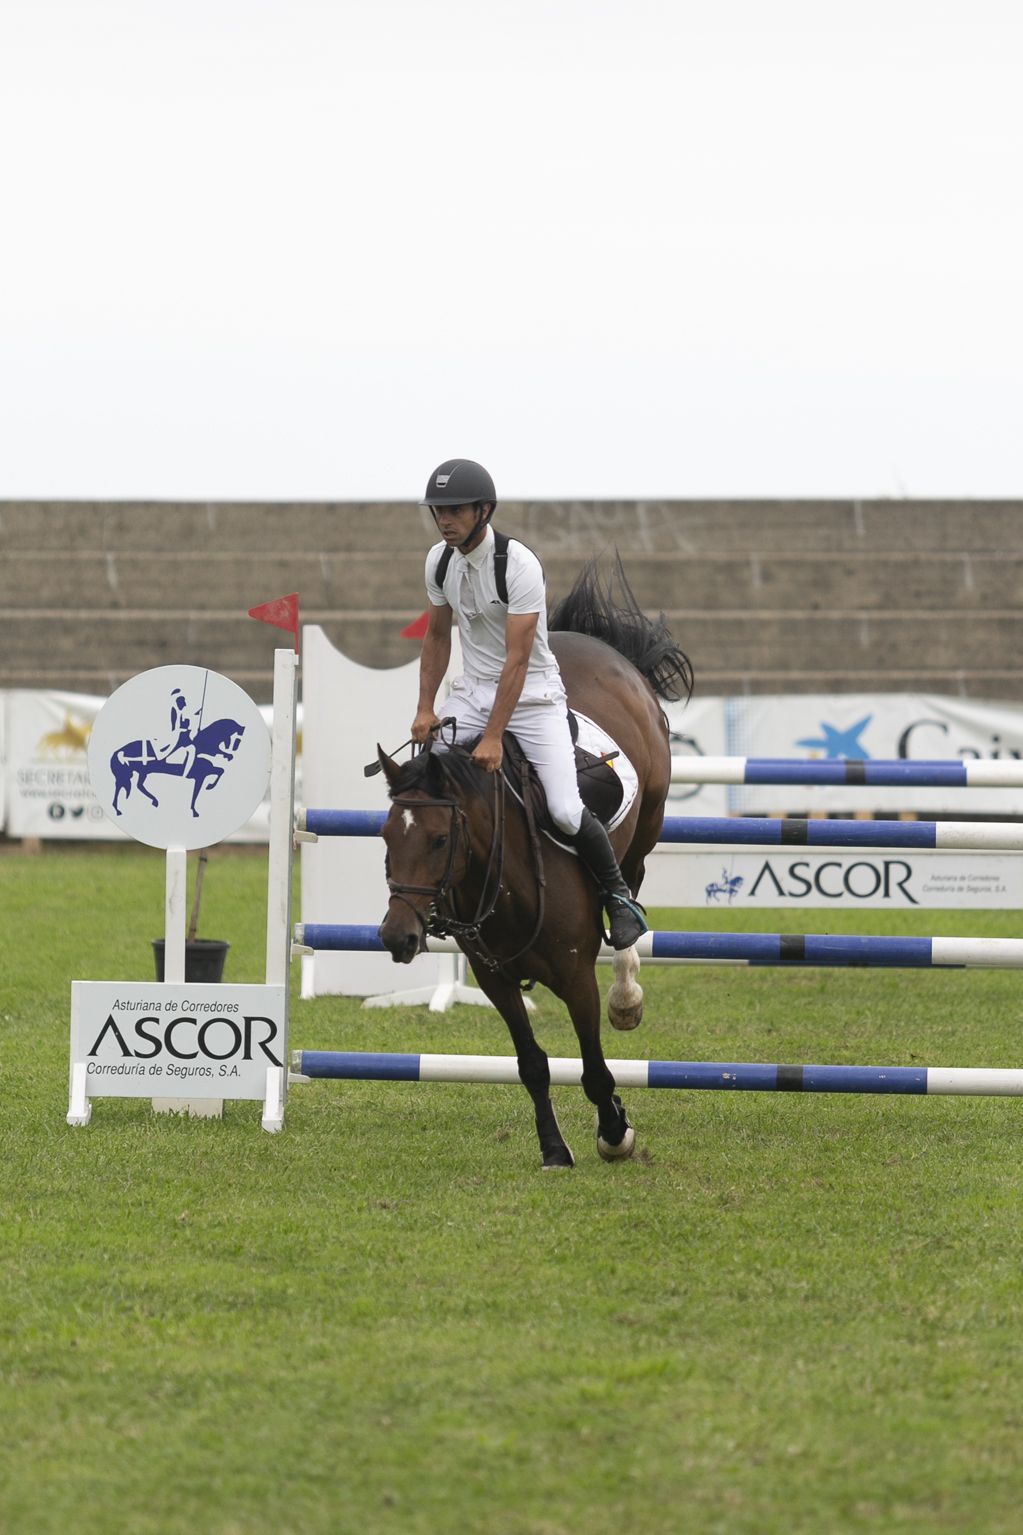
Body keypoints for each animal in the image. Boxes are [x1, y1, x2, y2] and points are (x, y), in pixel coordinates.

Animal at [370, 558, 688, 1166]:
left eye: (441, 840)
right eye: (387, 838)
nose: (398, 937)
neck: (503, 878)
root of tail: (594, 642)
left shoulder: (576, 975)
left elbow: (593, 1069)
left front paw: (615, 1132)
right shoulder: (494, 979)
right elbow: (533, 1064)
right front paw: (554, 1148)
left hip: (646, 828)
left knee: (629, 894)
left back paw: (628, 996)